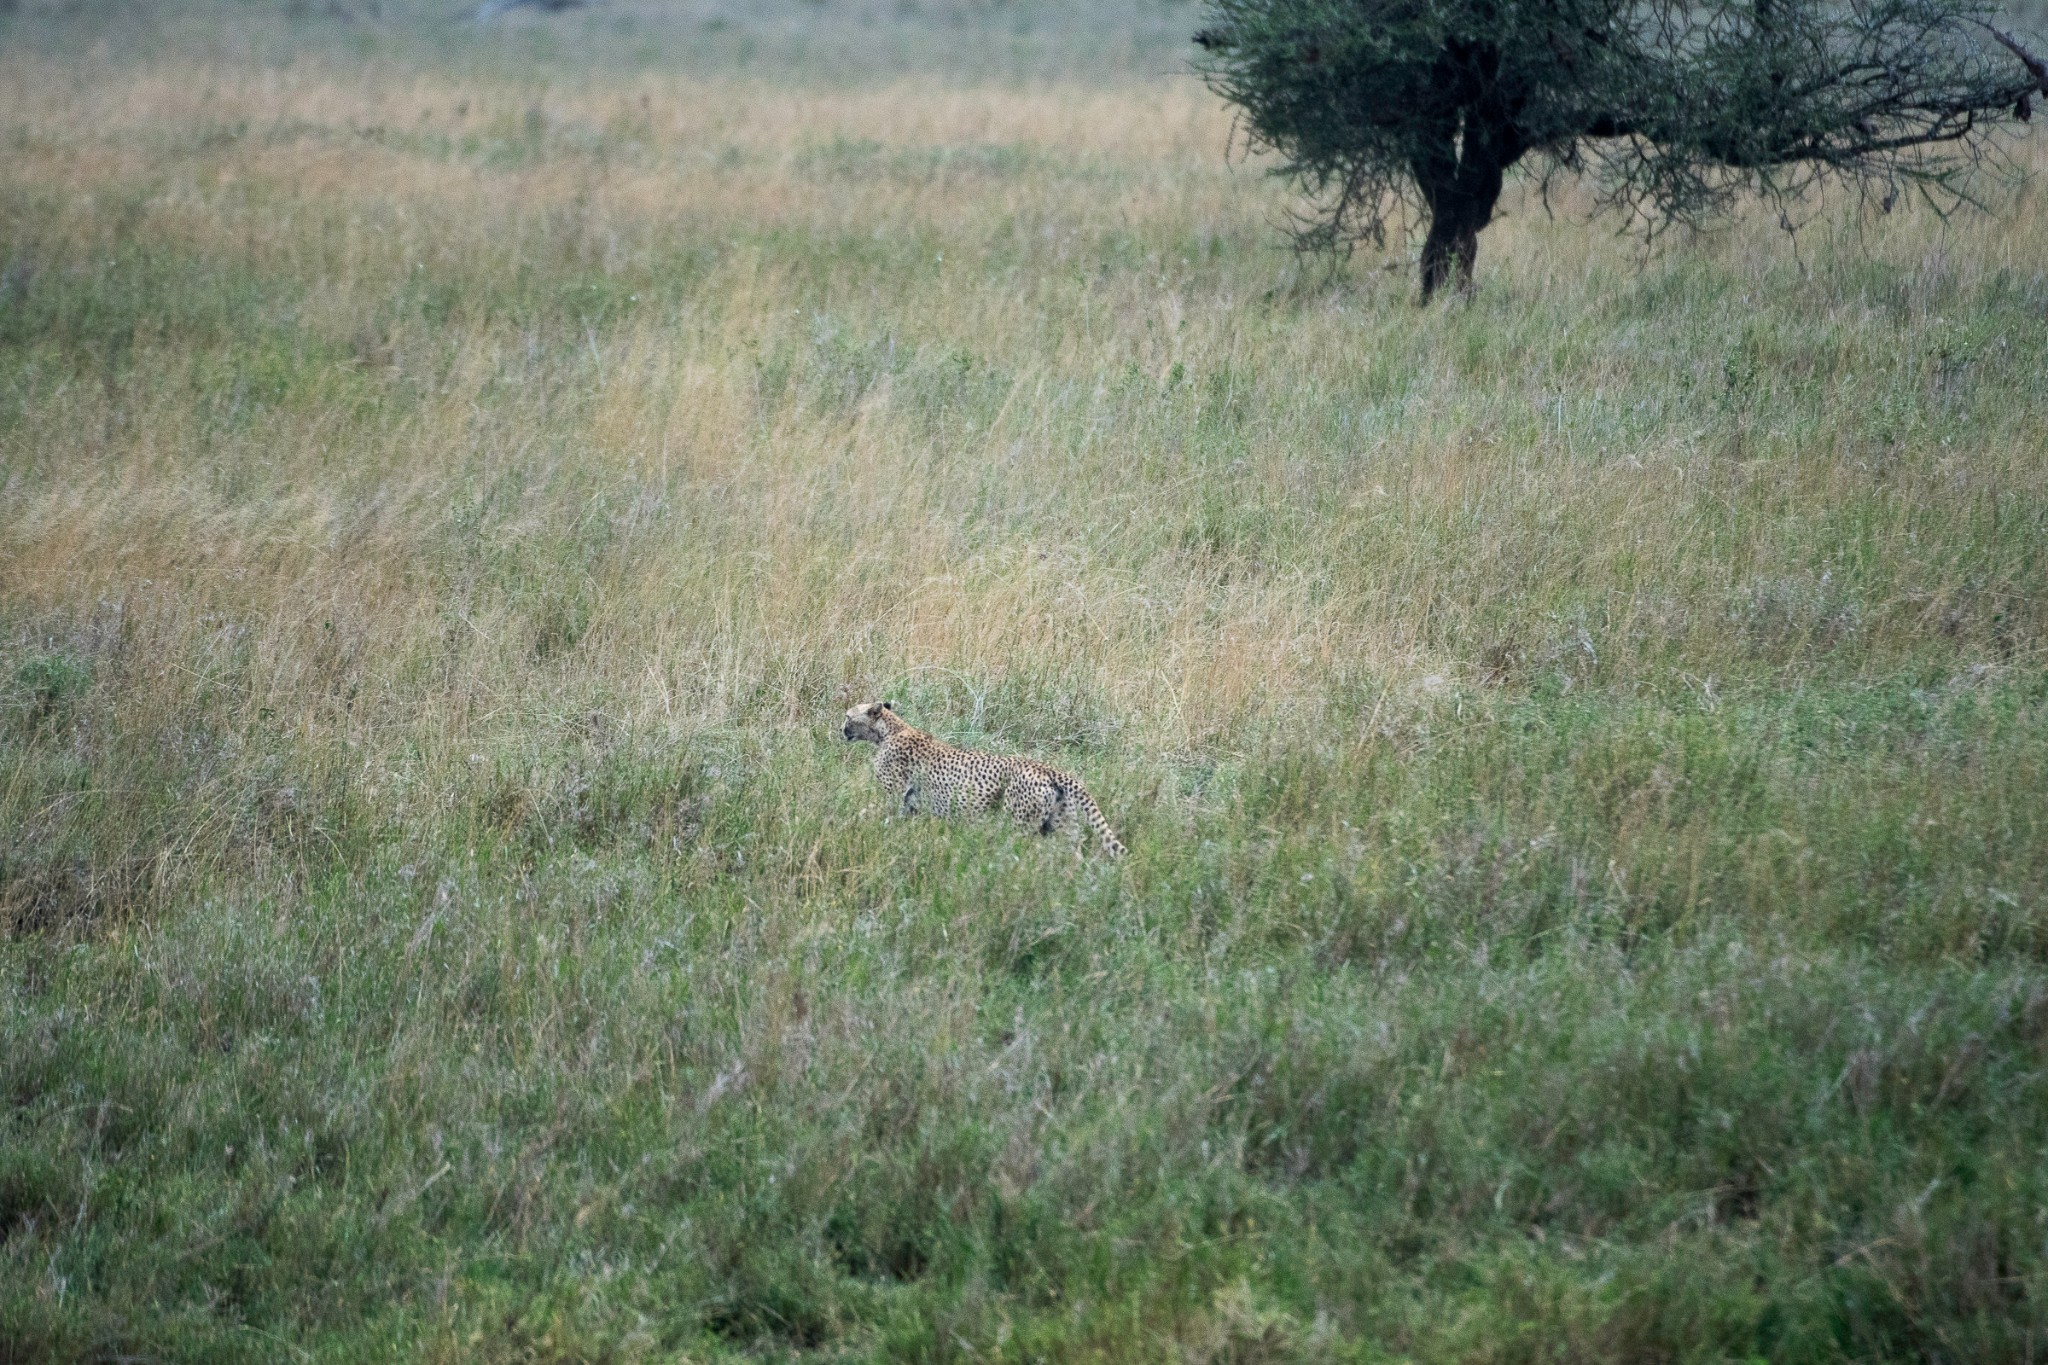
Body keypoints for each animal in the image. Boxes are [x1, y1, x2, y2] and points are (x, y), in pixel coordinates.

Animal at [839, 699, 1130, 859]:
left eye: (848, 716)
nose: (841, 728)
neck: (889, 730)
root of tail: (1047, 768)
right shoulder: (911, 805)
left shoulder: (894, 796)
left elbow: (871, 812)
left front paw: (847, 822)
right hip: (1060, 828)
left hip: (1018, 825)